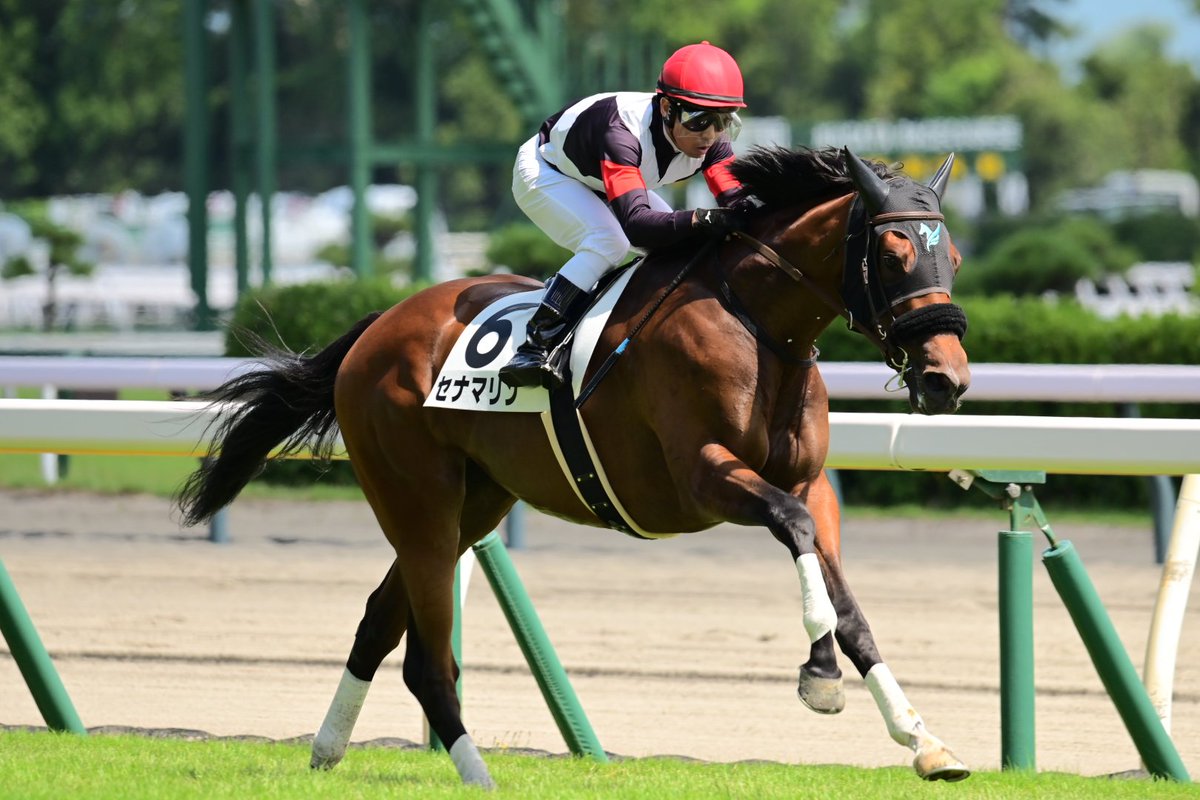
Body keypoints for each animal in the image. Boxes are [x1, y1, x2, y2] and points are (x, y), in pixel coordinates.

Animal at [174, 146, 969, 786]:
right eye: (893, 255)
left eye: (952, 260)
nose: (947, 379)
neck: (756, 324)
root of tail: (377, 327)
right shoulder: (703, 478)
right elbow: (794, 529)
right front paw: (820, 677)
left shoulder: (809, 481)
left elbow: (848, 605)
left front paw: (923, 741)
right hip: (418, 499)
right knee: (428, 661)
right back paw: (476, 774)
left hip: (472, 506)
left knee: (378, 620)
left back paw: (328, 749)